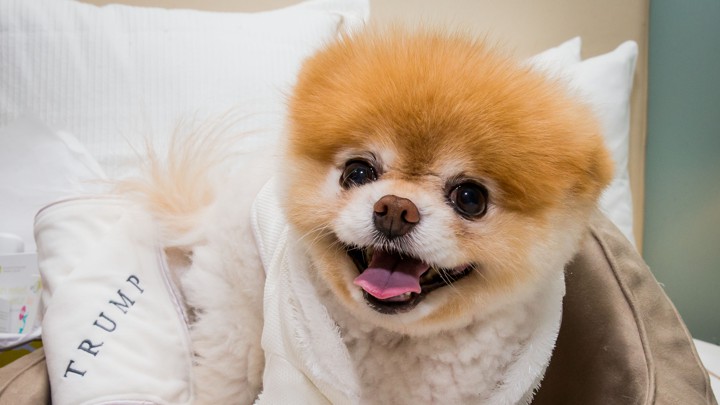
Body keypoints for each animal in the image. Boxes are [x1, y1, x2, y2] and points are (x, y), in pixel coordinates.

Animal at [134, 26, 612, 402]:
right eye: (358, 172)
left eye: (470, 198)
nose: (396, 209)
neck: (395, 341)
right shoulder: (295, 372)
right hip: (238, 315)